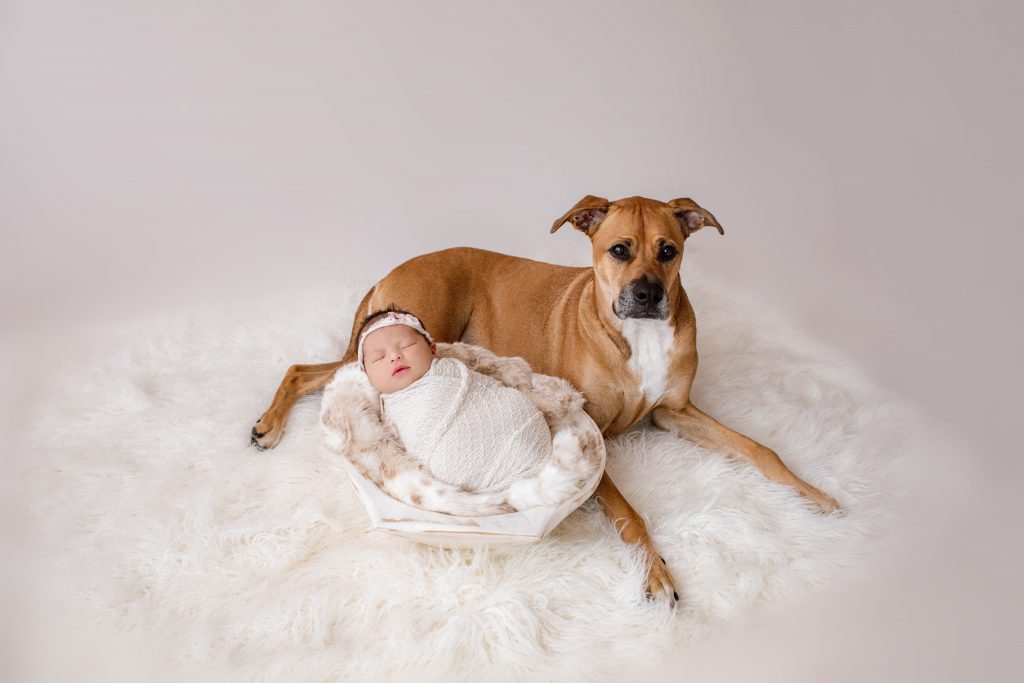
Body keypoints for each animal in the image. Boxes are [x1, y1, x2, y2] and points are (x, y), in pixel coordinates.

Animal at [249, 196, 839, 602]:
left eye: (669, 252)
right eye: (619, 250)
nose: (648, 295)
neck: (637, 335)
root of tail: (392, 271)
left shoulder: (674, 415)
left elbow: (761, 449)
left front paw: (814, 495)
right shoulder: (596, 435)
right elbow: (631, 516)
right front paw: (655, 573)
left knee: (308, 370)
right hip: (403, 338)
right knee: (306, 370)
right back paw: (268, 425)